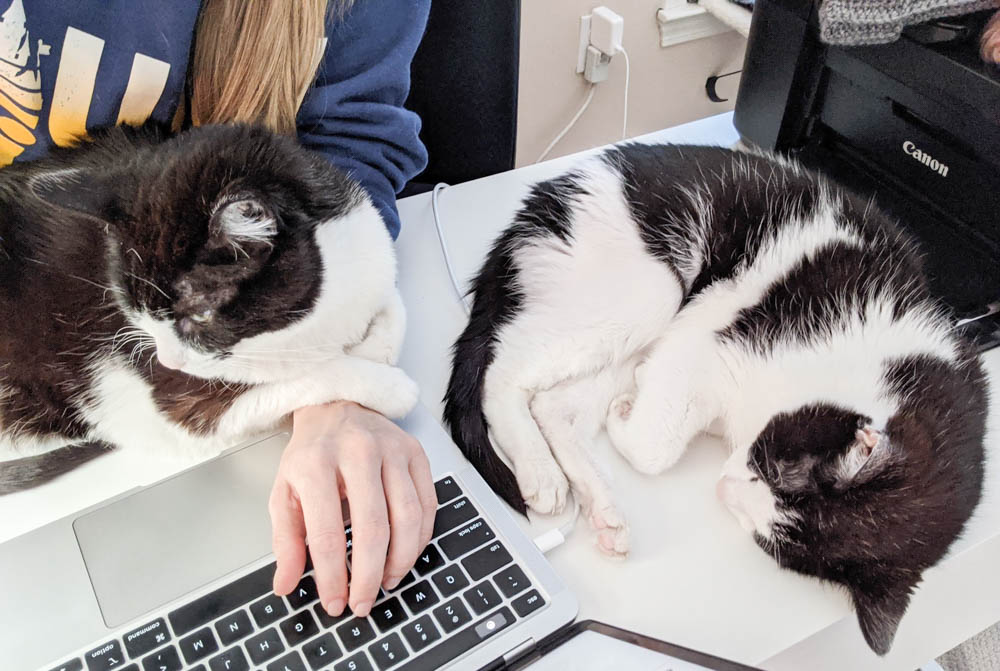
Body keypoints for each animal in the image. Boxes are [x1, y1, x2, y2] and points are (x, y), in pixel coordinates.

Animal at [0, 123, 416, 494]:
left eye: (200, 315)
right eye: (137, 314)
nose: (169, 361)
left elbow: (393, 305)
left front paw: (375, 345)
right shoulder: (185, 403)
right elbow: (300, 379)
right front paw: (388, 386)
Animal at [444, 143, 984, 656]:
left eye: (765, 534)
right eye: (774, 471)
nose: (724, 486)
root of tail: (547, 194)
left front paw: (628, 412)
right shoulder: (714, 342)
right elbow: (656, 448)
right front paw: (629, 415)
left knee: (555, 408)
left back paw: (603, 507)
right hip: (650, 292)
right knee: (504, 370)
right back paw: (541, 471)